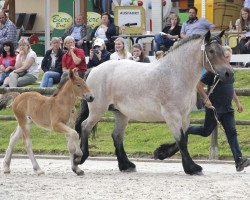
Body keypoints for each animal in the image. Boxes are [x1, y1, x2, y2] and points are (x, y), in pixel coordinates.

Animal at [74, 31, 232, 175]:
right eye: (211, 51)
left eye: (223, 51)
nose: (229, 73)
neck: (176, 75)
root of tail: (94, 69)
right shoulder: (172, 116)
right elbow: (181, 140)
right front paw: (192, 168)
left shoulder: (185, 117)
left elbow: (183, 138)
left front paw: (161, 153)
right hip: (98, 110)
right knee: (85, 127)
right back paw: (81, 157)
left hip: (121, 114)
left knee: (116, 136)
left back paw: (126, 165)